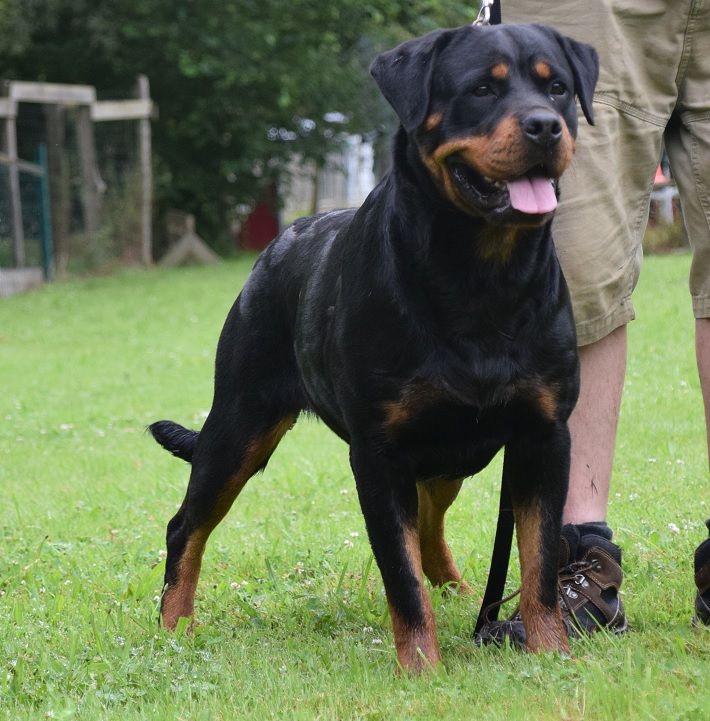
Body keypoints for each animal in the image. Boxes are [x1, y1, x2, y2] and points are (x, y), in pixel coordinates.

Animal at [150, 23, 600, 676]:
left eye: (558, 87)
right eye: (481, 90)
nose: (545, 126)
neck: (479, 272)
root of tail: (278, 242)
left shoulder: (543, 436)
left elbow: (539, 561)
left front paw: (550, 655)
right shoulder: (378, 454)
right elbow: (401, 577)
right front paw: (421, 668)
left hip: (449, 450)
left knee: (431, 526)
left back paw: (464, 593)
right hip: (238, 426)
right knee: (186, 526)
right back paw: (173, 627)